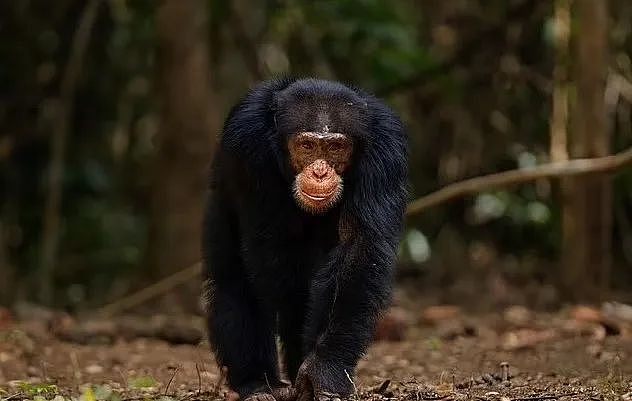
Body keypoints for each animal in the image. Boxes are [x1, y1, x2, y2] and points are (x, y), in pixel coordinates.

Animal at [204, 78, 410, 400]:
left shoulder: (387, 149)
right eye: (307, 145)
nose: (320, 171)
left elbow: (358, 247)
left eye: (336, 147)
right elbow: (272, 246)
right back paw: (257, 382)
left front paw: (323, 369)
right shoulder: (246, 141)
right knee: (233, 281)